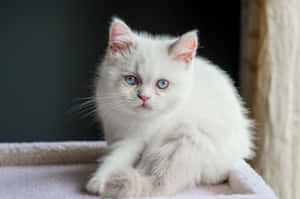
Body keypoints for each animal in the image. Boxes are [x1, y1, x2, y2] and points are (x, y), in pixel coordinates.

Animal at [85, 17, 254, 198]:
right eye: (131, 80)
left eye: (162, 84)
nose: (144, 97)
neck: (132, 120)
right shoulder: (113, 127)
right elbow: (114, 152)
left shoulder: (139, 138)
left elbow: (119, 156)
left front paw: (99, 181)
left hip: (191, 137)